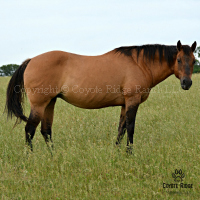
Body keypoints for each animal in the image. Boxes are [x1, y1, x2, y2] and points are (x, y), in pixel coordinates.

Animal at [5, 40, 197, 153]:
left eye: (194, 60)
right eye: (179, 60)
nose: (186, 83)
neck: (140, 64)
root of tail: (31, 61)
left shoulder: (124, 104)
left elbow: (121, 128)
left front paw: (117, 151)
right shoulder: (132, 100)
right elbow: (131, 127)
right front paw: (130, 152)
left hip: (50, 102)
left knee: (46, 130)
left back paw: (54, 155)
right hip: (39, 104)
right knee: (29, 130)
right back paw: (31, 156)